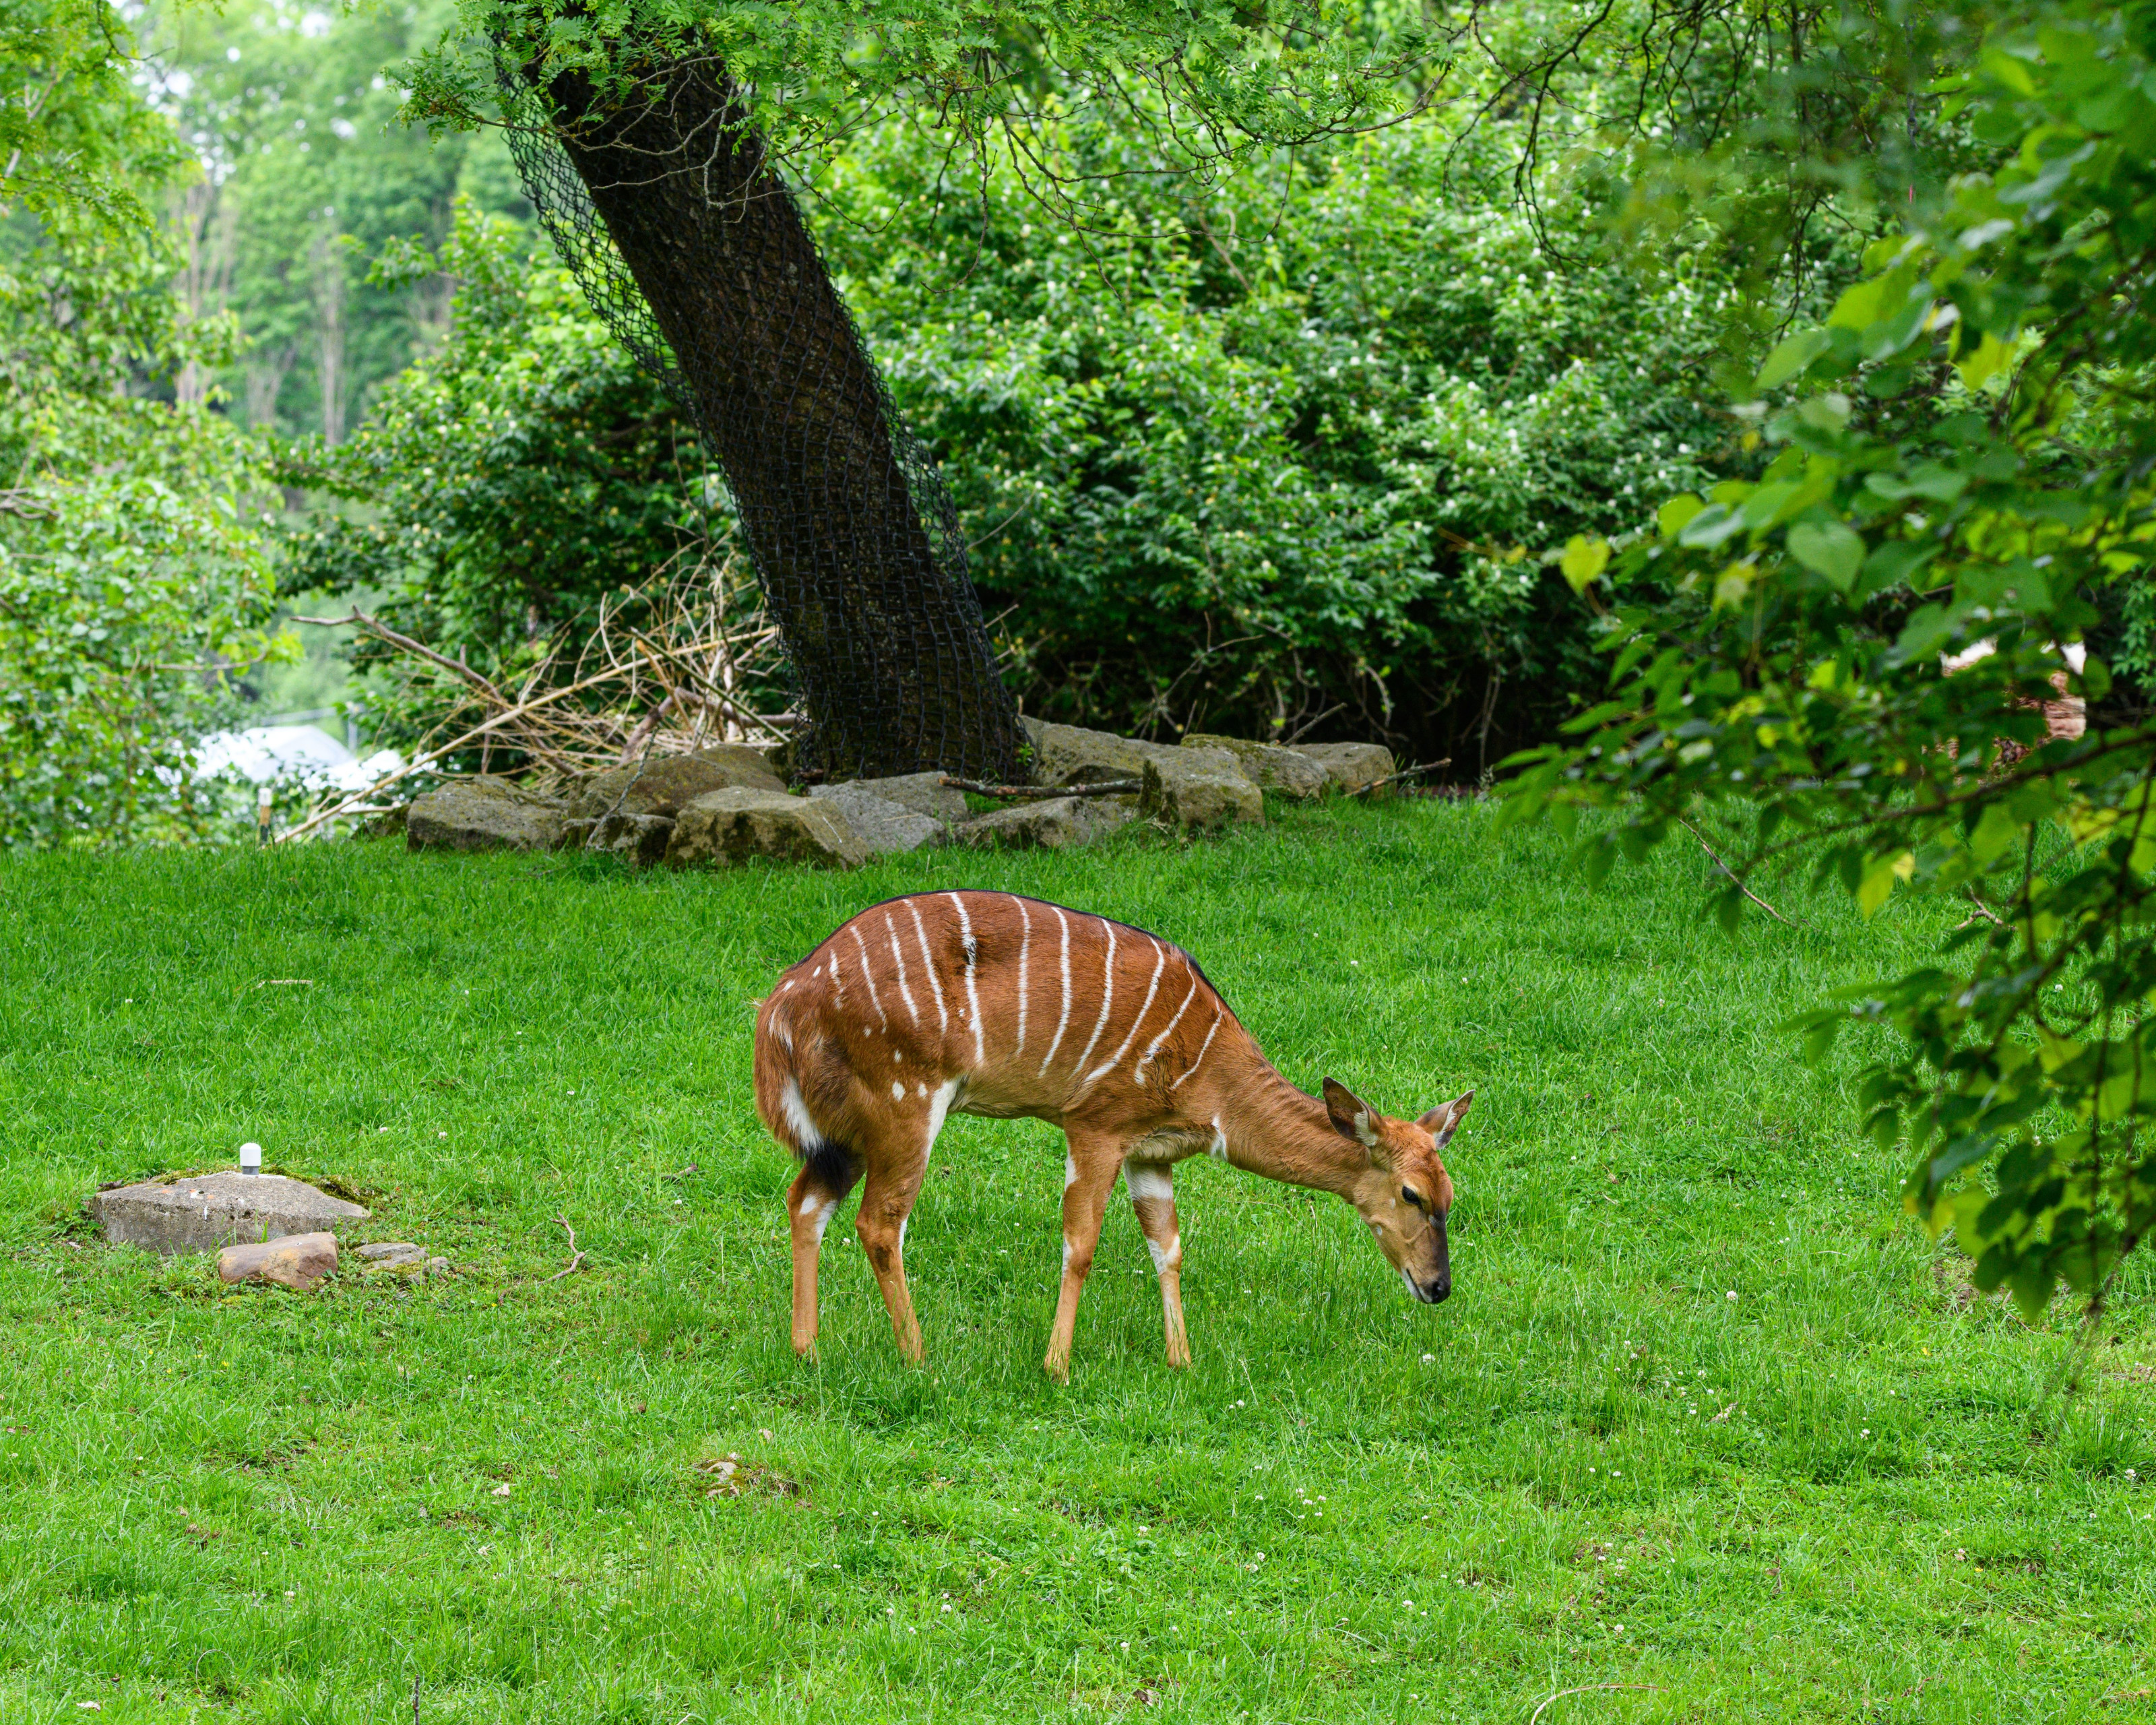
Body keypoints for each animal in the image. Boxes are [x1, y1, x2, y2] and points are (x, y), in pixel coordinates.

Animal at [753, 891, 1472, 1380]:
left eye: (1449, 1196)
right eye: (1410, 1194)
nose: (1438, 1288)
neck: (1211, 1074)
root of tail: (785, 999)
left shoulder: (1149, 1152)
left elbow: (1168, 1246)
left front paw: (1181, 1360)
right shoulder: (1095, 1124)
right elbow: (1081, 1243)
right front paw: (1056, 1365)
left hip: (845, 1133)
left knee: (806, 1202)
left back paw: (806, 1349)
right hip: (906, 1105)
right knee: (880, 1222)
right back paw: (919, 1356)